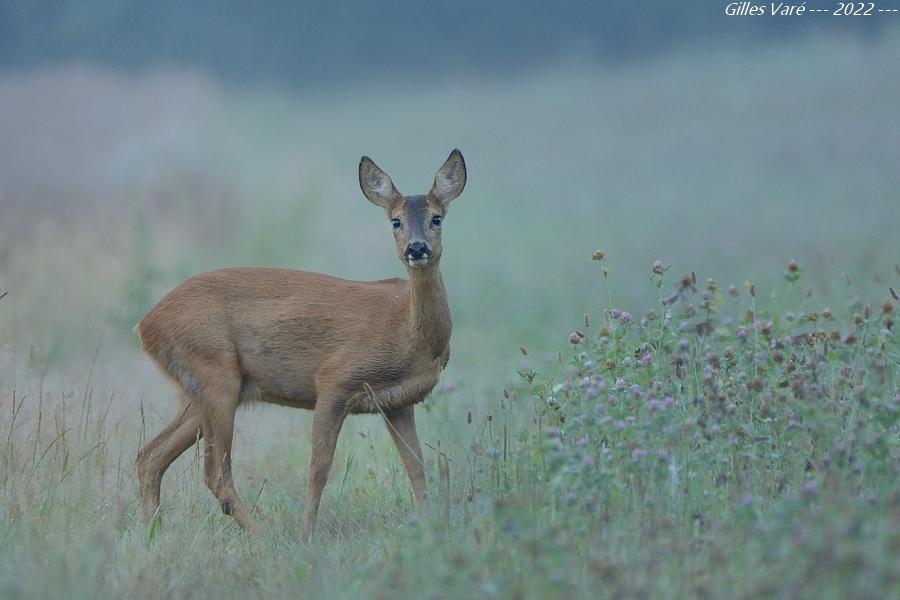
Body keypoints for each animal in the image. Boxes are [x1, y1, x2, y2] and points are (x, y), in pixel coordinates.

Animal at [139, 149, 472, 540]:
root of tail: (146, 325)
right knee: (215, 472)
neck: (408, 332)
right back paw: (262, 537)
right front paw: (306, 535)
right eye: (395, 221)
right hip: (214, 373)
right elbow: (318, 468)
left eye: (437, 218)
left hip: (203, 391)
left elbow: (417, 466)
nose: (416, 248)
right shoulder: (335, 381)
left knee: (150, 455)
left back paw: (151, 533)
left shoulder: (398, 402)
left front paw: (432, 528)